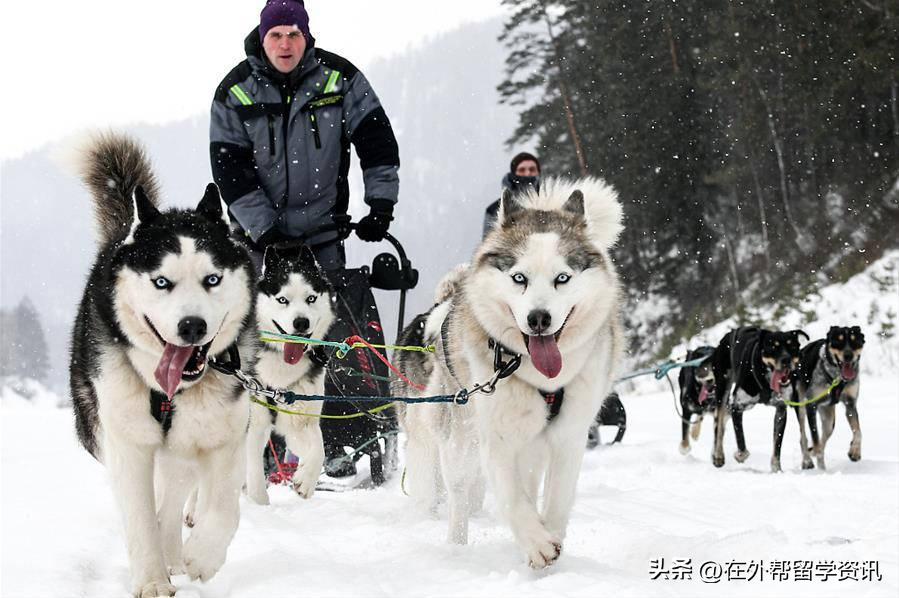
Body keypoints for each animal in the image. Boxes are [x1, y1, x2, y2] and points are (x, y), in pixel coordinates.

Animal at [67, 134, 253, 596]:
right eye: (161, 282)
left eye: (212, 279)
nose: (192, 326)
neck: (172, 392)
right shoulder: (127, 443)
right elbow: (138, 517)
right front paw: (151, 579)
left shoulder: (225, 437)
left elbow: (225, 507)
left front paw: (202, 556)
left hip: (183, 446)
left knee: (171, 500)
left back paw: (176, 552)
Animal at [246, 246, 338, 504]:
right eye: (282, 300)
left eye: (311, 298)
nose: (301, 322)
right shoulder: (252, 424)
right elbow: (253, 470)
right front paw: (259, 504)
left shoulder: (301, 419)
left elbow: (318, 450)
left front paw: (305, 479)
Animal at [398, 177, 624, 568]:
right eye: (520, 277)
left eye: (562, 278)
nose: (539, 318)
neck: (542, 379)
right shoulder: (497, 439)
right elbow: (512, 497)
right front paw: (537, 543)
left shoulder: (569, 435)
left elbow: (557, 498)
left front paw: (549, 534)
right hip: (458, 440)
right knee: (459, 494)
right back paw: (457, 545)